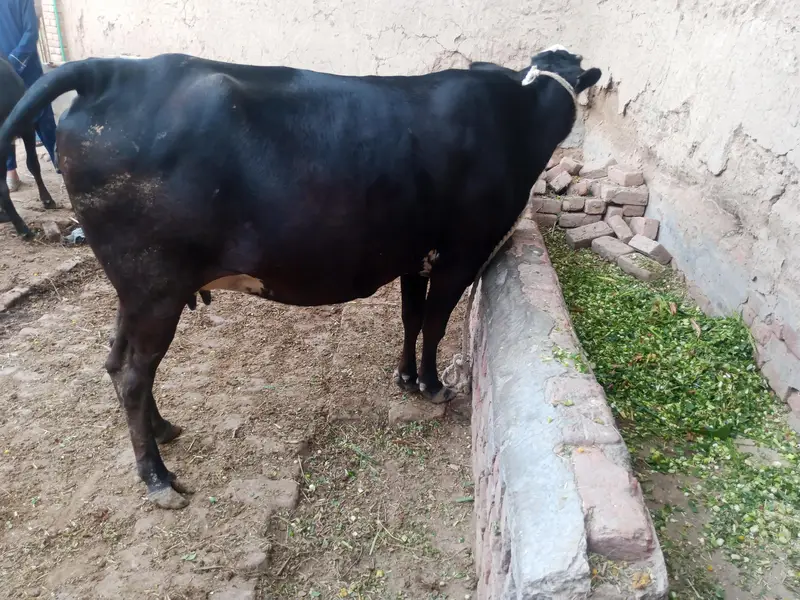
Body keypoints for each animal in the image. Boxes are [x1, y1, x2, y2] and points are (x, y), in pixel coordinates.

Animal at [0, 46, 601, 509]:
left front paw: (406, 377)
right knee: (131, 374)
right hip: (154, 285)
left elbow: (410, 319)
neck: (514, 115)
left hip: (136, 290)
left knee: (117, 360)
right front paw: (433, 385)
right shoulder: (461, 254)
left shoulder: (413, 255)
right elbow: (433, 323)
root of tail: (112, 69)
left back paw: (165, 430)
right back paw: (158, 478)